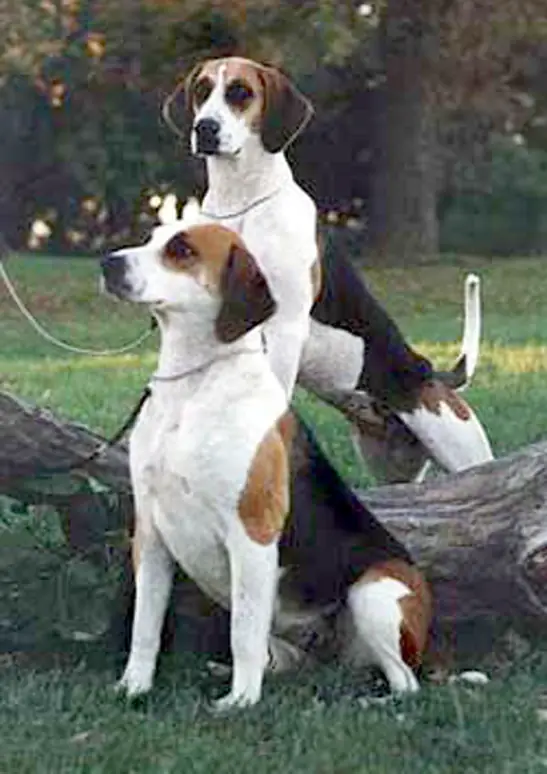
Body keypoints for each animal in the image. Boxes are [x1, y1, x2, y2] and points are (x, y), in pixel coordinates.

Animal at [101, 222, 433, 709]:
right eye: (152, 237)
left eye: (182, 250)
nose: (108, 263)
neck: (193, 386)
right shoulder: (151, 533)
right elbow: (145, 626)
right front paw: (133, 687)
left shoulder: (252, 534)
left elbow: (243, 631)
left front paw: (240, 702)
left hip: (375, 592)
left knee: (405, 682)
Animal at [163, 56, 493, 483]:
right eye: (202, 90)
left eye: (240, 92)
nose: (205, 128)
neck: (241, 200)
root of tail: (432, 374)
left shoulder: (284, 327)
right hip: (391, 466)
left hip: (464, 450)